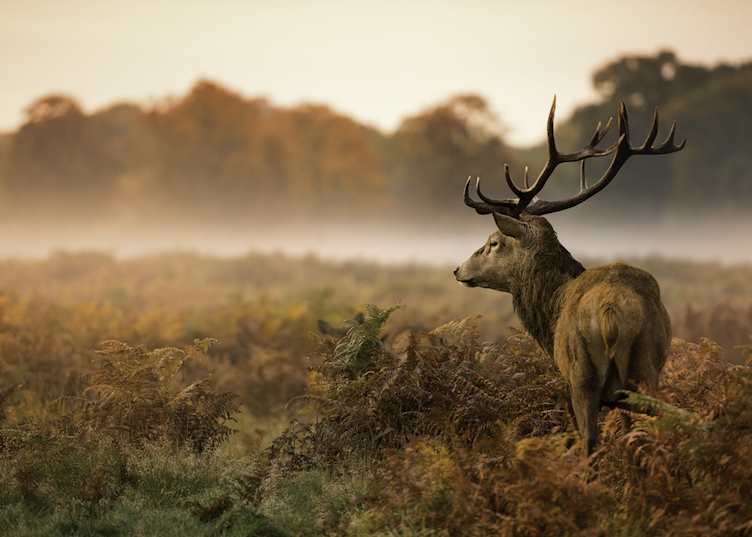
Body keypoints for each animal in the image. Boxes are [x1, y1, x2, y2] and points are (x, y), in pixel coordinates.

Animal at [454, 97, 685, 455]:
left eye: (494, 242)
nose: (458, 269)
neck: (551, 307)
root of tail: (611, 313)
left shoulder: (566, 377)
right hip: (650, 361)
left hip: (582, 374)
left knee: (589, 440)